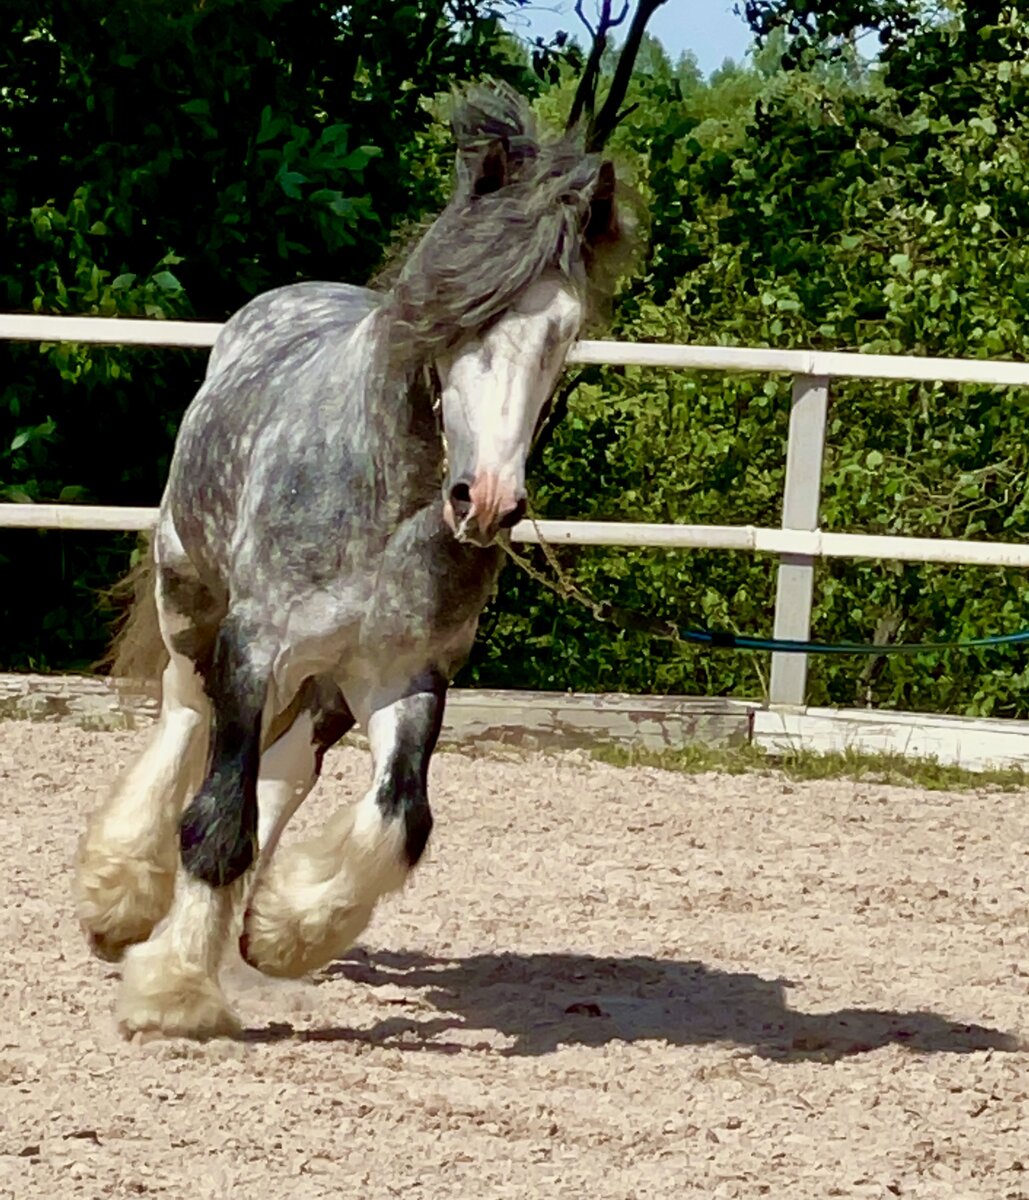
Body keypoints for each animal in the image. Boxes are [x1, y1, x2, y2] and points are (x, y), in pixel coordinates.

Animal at [72, 82, 628, 1041]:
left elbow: (398, 819)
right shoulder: (254, 649)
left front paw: (284, 929)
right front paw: (175, 992)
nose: (486, 502)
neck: (379, 498)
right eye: (462, 314)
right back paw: (121, 893)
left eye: (561, 332)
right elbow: (217, 818)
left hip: (325, 685)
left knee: (287, 769)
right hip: (193, 600)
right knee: (184, 722)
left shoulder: (407, 675)